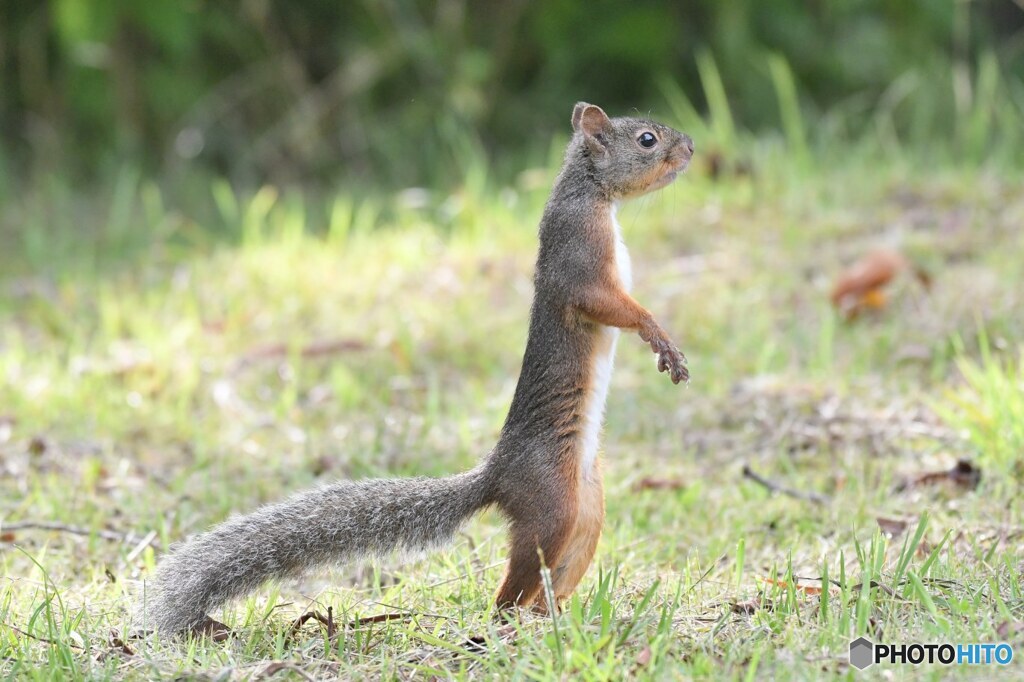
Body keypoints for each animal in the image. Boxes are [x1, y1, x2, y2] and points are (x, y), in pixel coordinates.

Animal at [140, 103, 692, 634]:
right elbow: (606, 302)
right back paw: (514, 625)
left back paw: (558, 619)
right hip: (553, 505)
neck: (592, 194)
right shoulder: (578, 254)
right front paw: (659, 336)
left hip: (588, 511)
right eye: (647, 139)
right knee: (511, 588)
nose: (689, 147)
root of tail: (497, 476)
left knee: (549, 580)